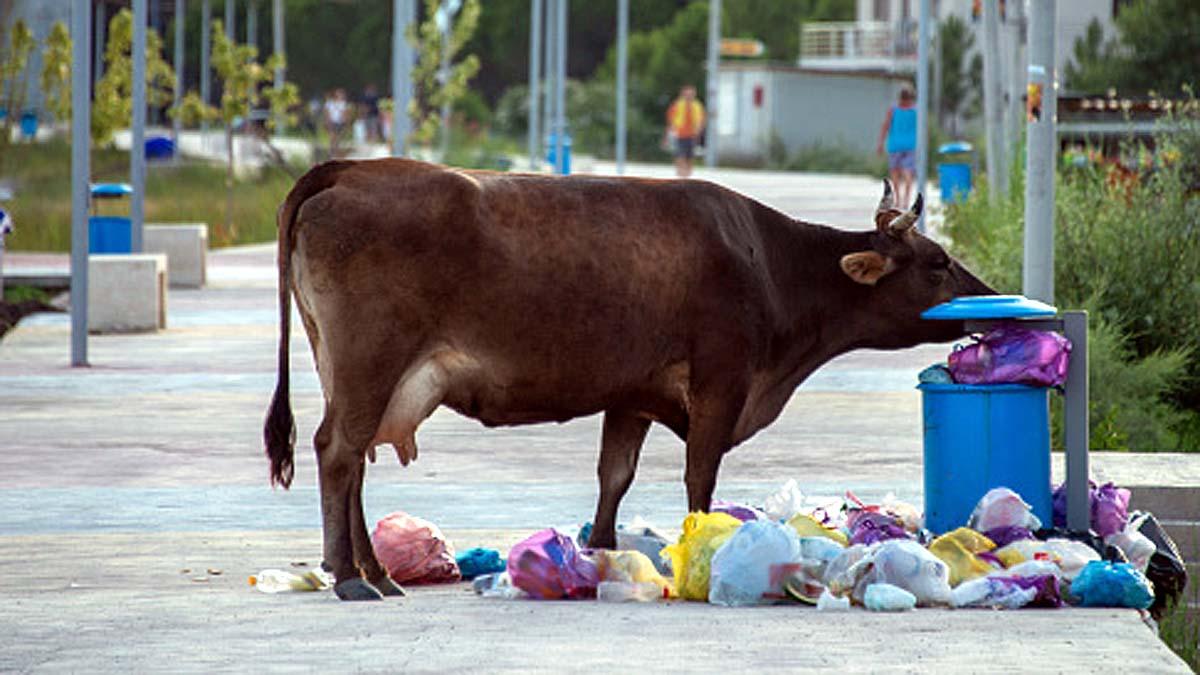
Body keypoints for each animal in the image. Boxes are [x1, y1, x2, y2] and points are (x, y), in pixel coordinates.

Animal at [264, 158, 995, 600]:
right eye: (936, 261)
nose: (990, 294)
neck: (768, 263)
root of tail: (355, 168)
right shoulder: (721, 381)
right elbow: (699, 476)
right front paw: (698, 547)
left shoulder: (632, 397)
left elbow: (613, 477)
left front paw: (601, 554)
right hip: (370, 361)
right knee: (338, 451)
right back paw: (351, 577)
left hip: (351, 369)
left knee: (352, 462)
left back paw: (376, 572)